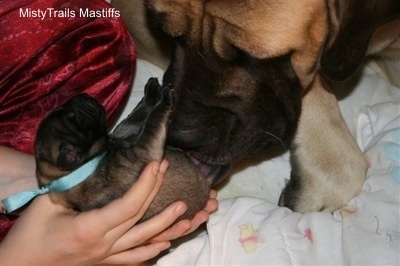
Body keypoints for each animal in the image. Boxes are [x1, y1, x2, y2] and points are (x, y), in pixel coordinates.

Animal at [36, 77, 230, 220]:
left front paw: (152, 94)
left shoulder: (124, 134)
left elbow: (133, 119)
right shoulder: (144, 151)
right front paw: (164, 100)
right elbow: (153, 121)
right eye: (76, 119)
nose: (83, 95)